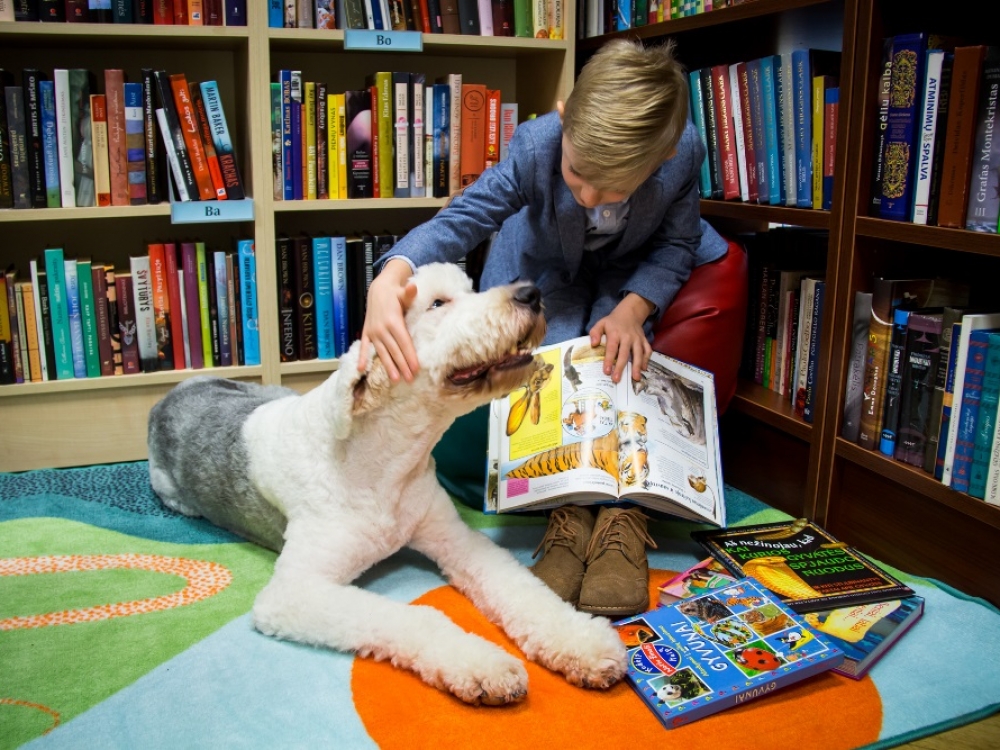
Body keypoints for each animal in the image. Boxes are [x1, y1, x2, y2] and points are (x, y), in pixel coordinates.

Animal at [147, 262, 624, 704]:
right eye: (437, 303)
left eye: (468, 288)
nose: (531, 294)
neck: (388, 463)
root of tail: (179, 388)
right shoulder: (292, 592)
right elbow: (421, 616)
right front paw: (484, 667)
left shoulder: (455, 539)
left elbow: (523, 588)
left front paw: (586, 644)